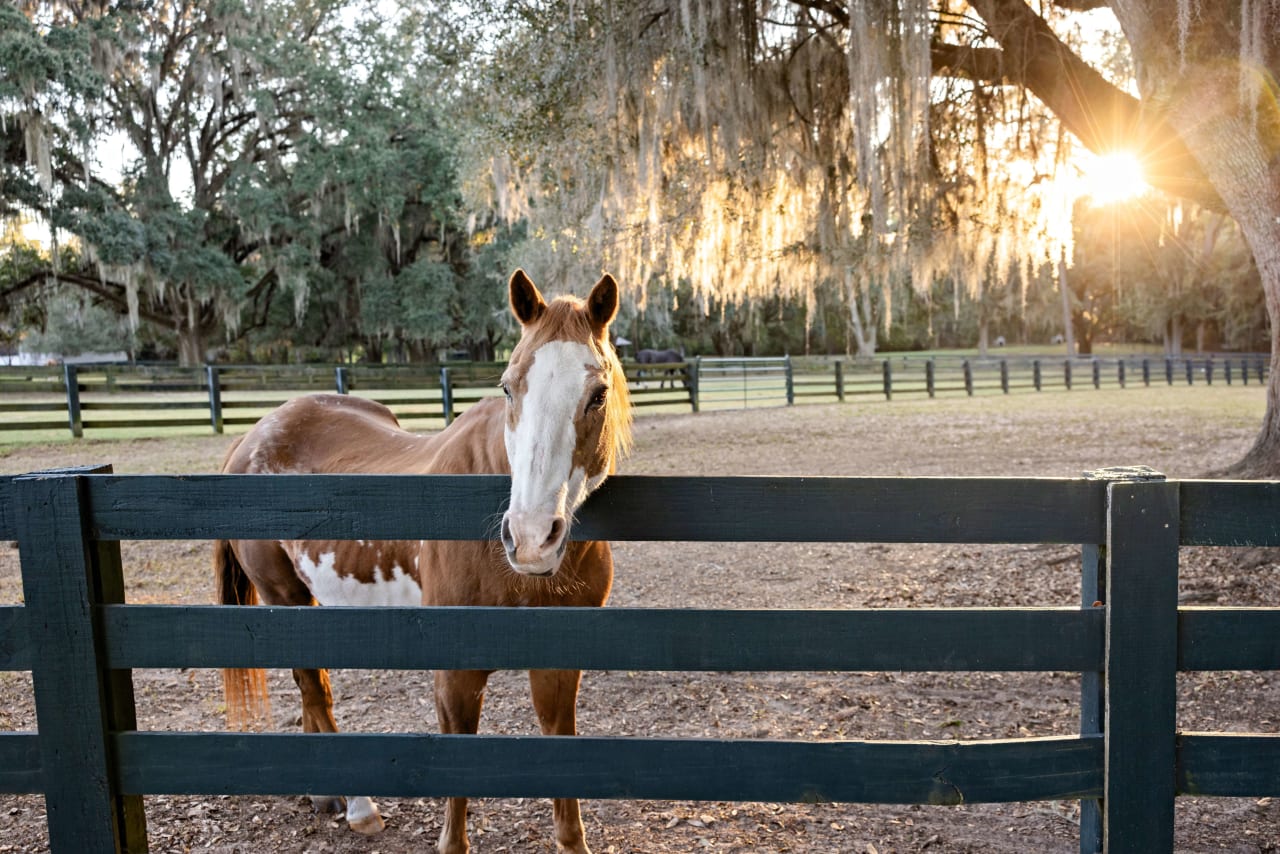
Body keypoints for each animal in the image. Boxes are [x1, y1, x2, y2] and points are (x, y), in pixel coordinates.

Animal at [216, 268, 634, 854]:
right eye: (509, 386)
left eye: (598, 394)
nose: (530, 538)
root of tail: (253, 435)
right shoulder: (455, 674)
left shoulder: (558, 664)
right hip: (284, 598)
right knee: (313, 687)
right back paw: (360, 806)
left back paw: (326, 794)